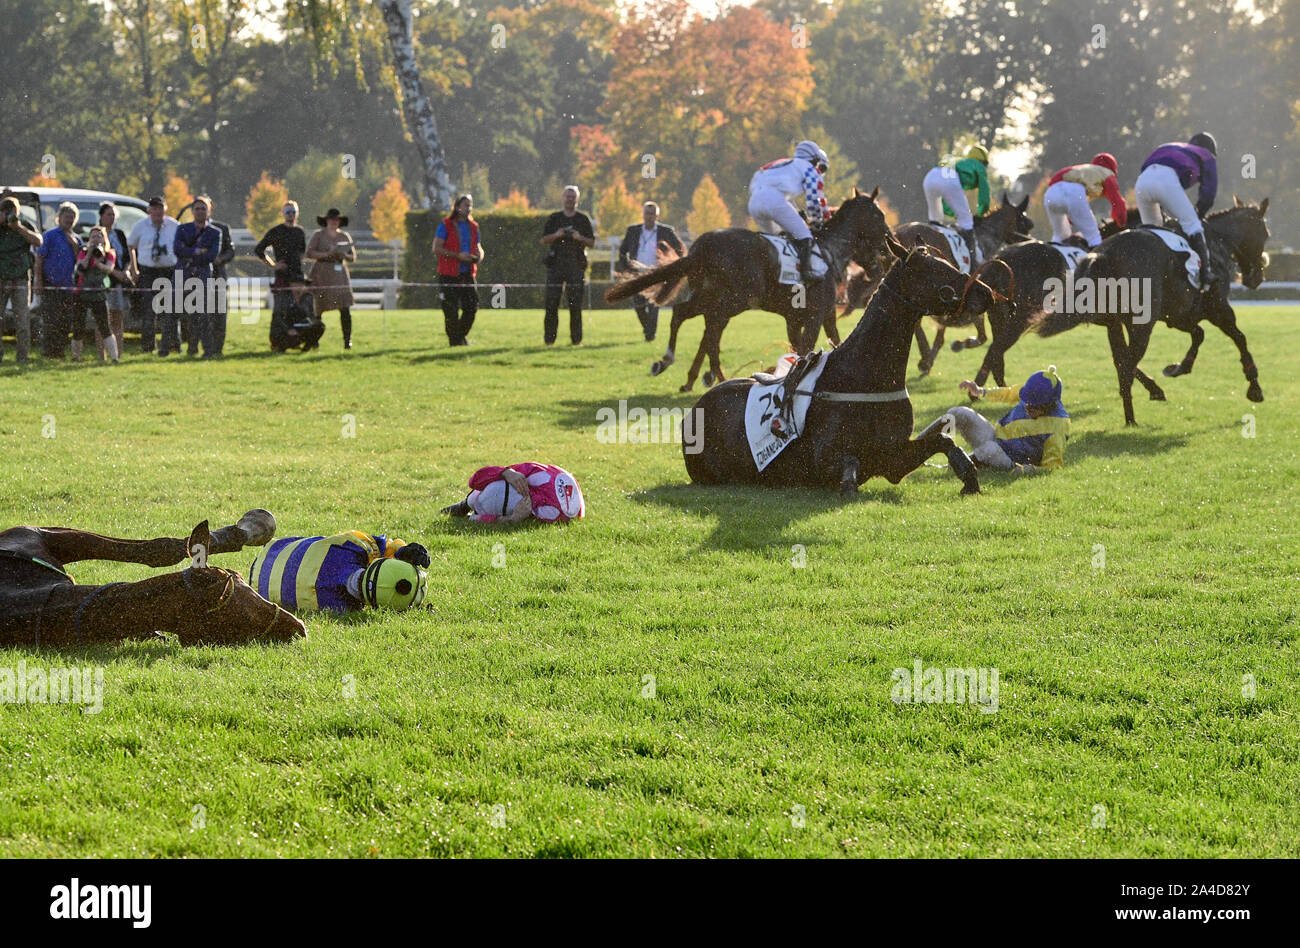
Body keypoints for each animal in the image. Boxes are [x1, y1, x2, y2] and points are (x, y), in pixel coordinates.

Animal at [600, 187, 889, 390]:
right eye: (879, 214)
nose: (888, 243)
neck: (829, 250)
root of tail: (702, 245)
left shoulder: (802, 317)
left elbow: (819, 344)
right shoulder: (815, 315)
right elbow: (812, 346)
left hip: (710, 294)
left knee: (685, 314)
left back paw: (673, 364)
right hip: (735, 299)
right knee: (711, 327)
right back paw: (715, 375)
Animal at [681, 235, 993, 496]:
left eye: (949, 263)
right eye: (935, 270)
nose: (987, 292)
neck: (864, 376)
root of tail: (694, 410)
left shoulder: (893, 458)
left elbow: (943, 440)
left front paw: (968, 476)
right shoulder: (820, 463)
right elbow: (850, 461)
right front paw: (849, 485)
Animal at [1034, 200, 1268, 426]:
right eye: (1265, 234)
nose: (1256, 278)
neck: (1217, 242)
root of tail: (1104, 254)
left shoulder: (1178, 316)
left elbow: (1198, 334)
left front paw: (1179, 367)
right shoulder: (1218, 308)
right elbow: (1239, 338)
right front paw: (1255, 388)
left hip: (1116, 322)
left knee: (1122, 362)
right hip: (1141, 326)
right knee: (1127, 366)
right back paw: (1132, 419)